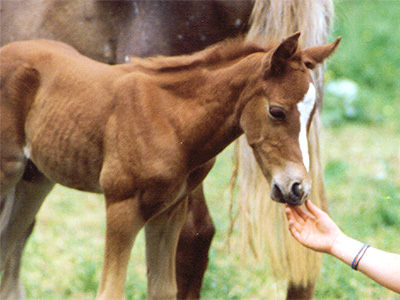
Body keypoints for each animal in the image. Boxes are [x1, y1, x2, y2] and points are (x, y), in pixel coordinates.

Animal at [0, 0, 334, 298]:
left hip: (35, 181)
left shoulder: (170, 209)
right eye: (276, 111)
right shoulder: (122, 205)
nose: (297, 187)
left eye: (313, 112)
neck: (170, 117)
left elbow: (163, 289)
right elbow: (111, 291)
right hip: (9, 173)